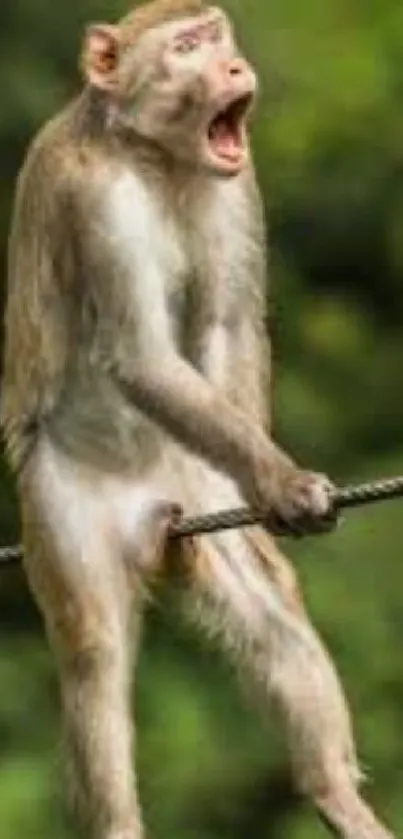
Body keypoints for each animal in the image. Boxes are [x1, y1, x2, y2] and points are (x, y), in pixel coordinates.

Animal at [0, 0, 396, 836]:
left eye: (220, 36)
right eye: (186, 46)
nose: (234, 67)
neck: (154, 157)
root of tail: (151, 508)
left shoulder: (236, 184)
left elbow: (226, 323)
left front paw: (269, 488)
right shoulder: (95, 200)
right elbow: (141, 356)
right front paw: (283, 482)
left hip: (190, 489)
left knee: (270, 611)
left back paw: (336, 797)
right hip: (62, 506)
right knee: (93, 651)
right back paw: (118, 821)